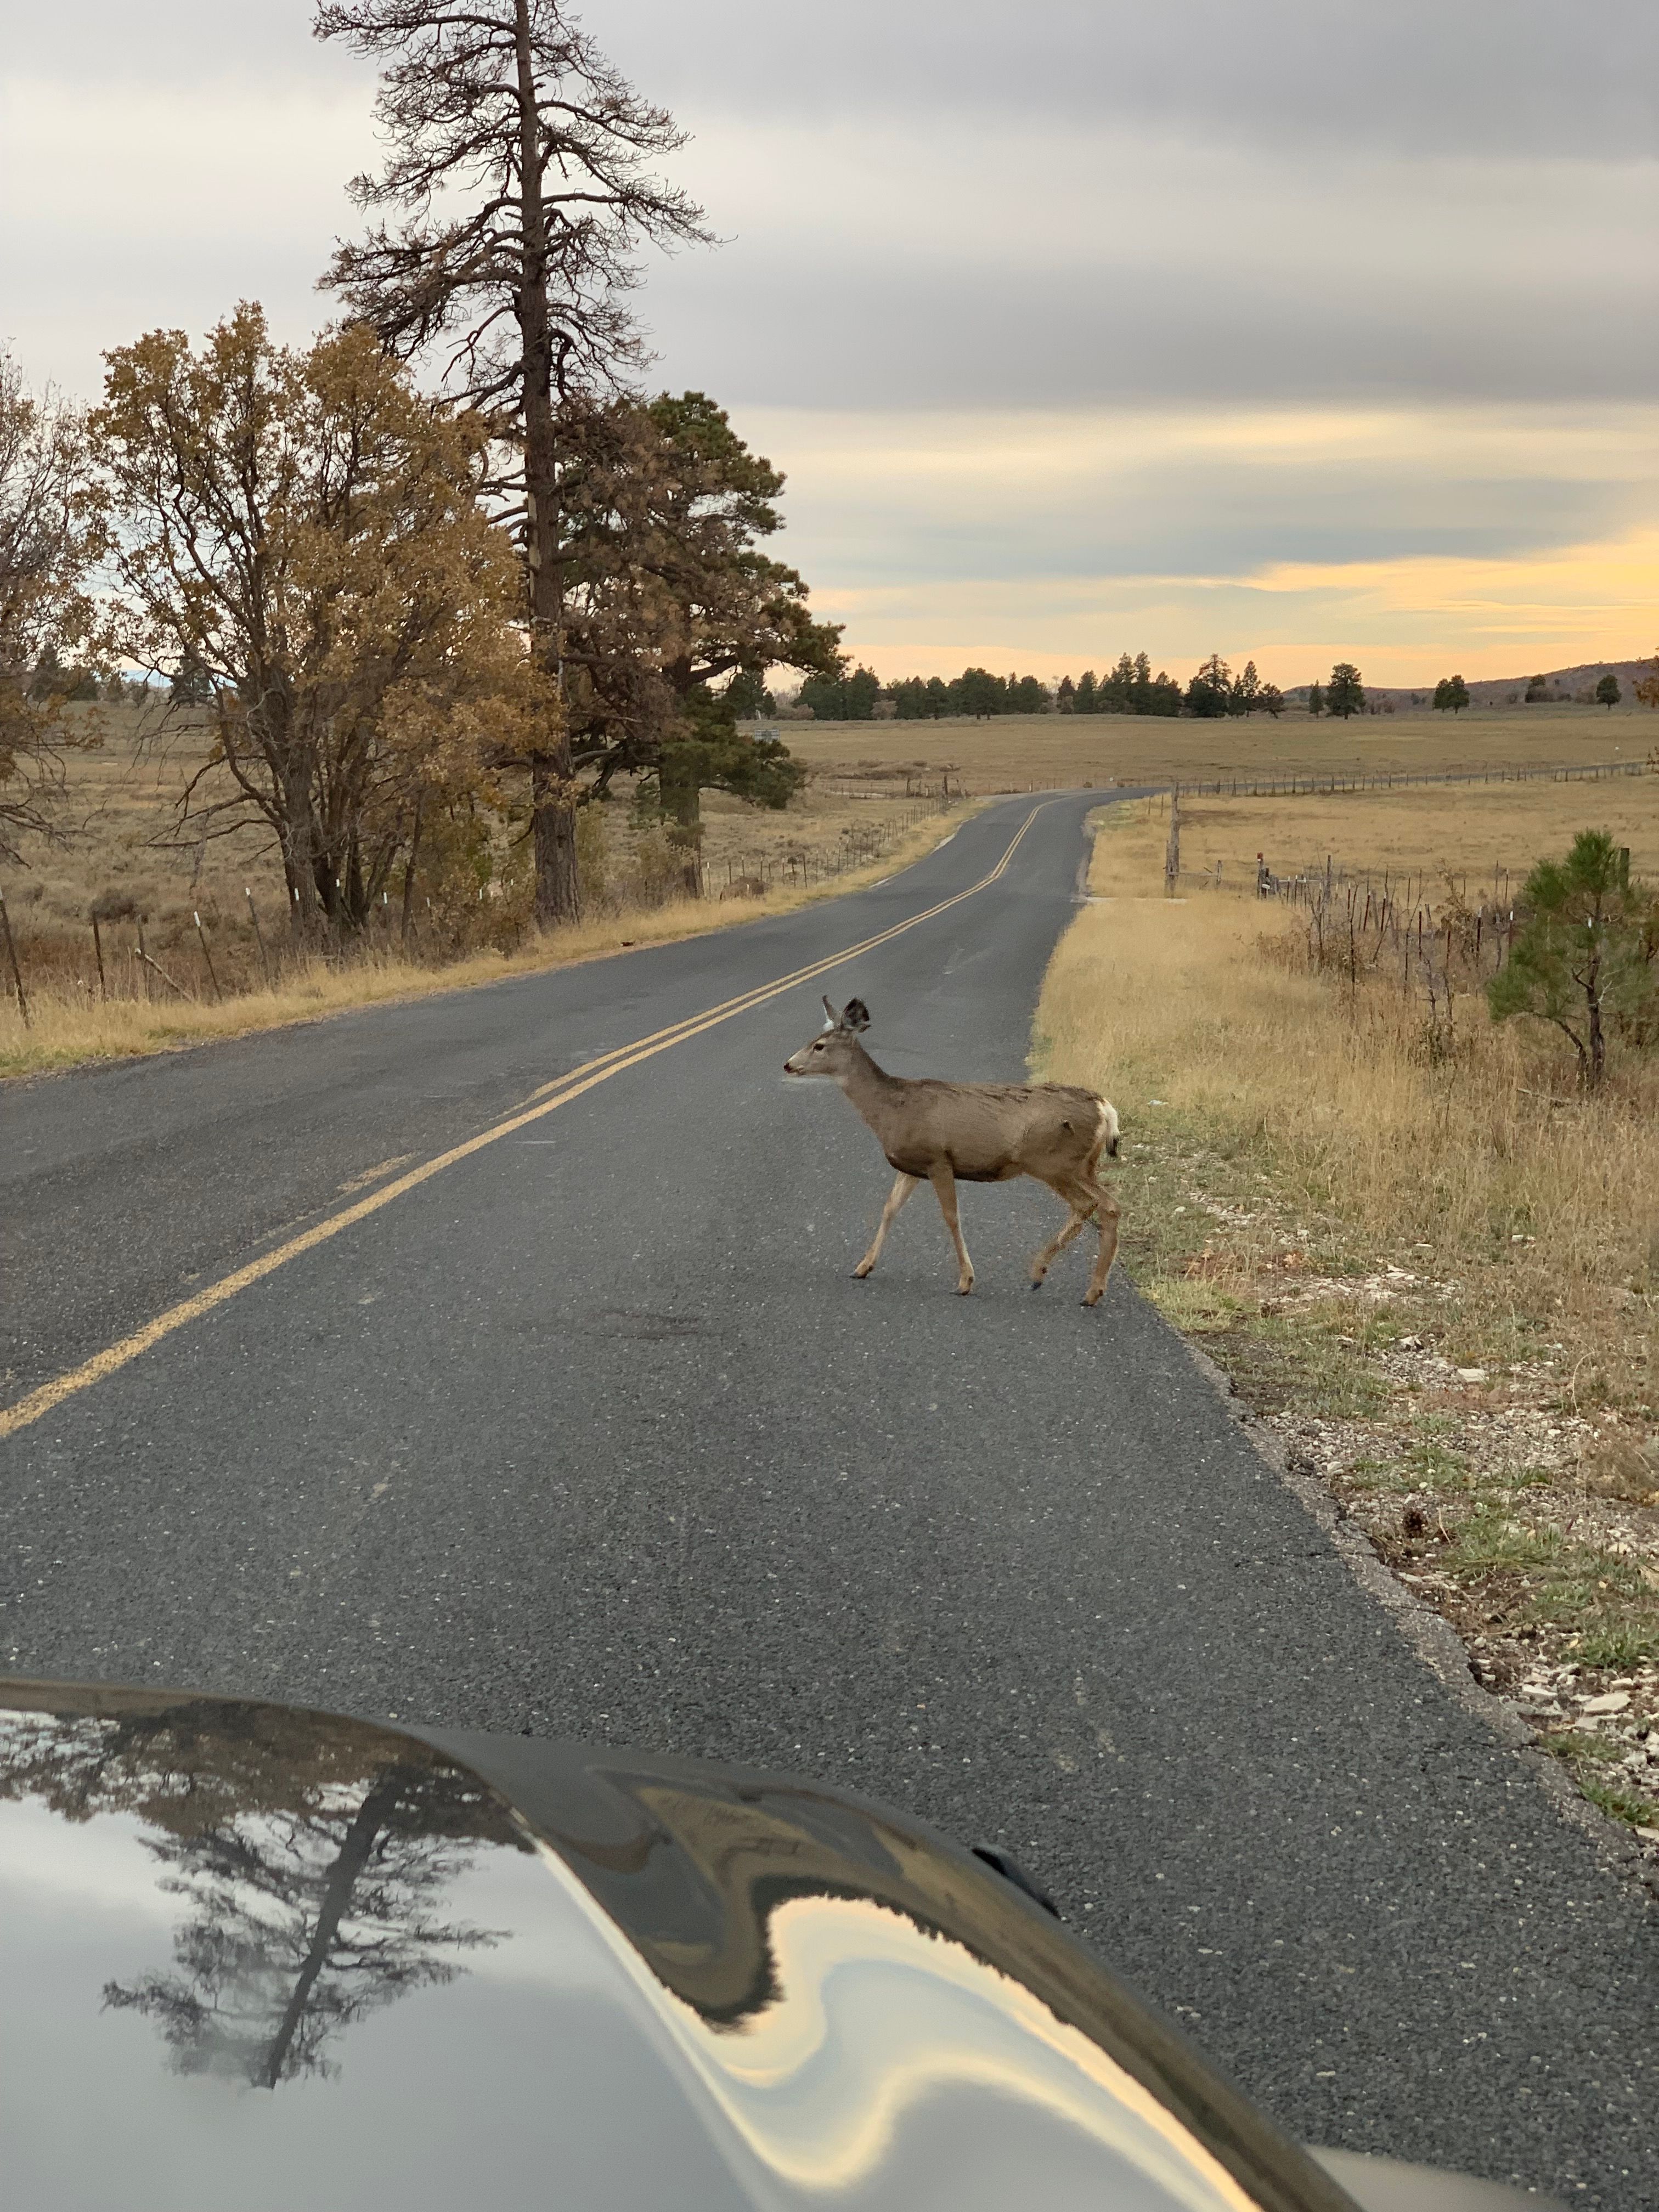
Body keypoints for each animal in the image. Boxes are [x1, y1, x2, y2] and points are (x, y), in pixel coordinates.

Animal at [787, 1000, 1124, 1300]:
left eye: (819, 1046)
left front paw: (966, 1281)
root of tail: (1105, 1108)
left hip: (1051, 1162)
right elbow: (889, 1209)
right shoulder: (912, 1166)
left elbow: (951, 1216)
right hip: (1083, 1166)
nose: (788, 1064)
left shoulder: (938, 1159)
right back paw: (1092, 1292)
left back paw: (1040, 1273)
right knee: (1110, 1206)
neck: (891, 1110)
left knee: (1087, 1204)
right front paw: (863, 1267)